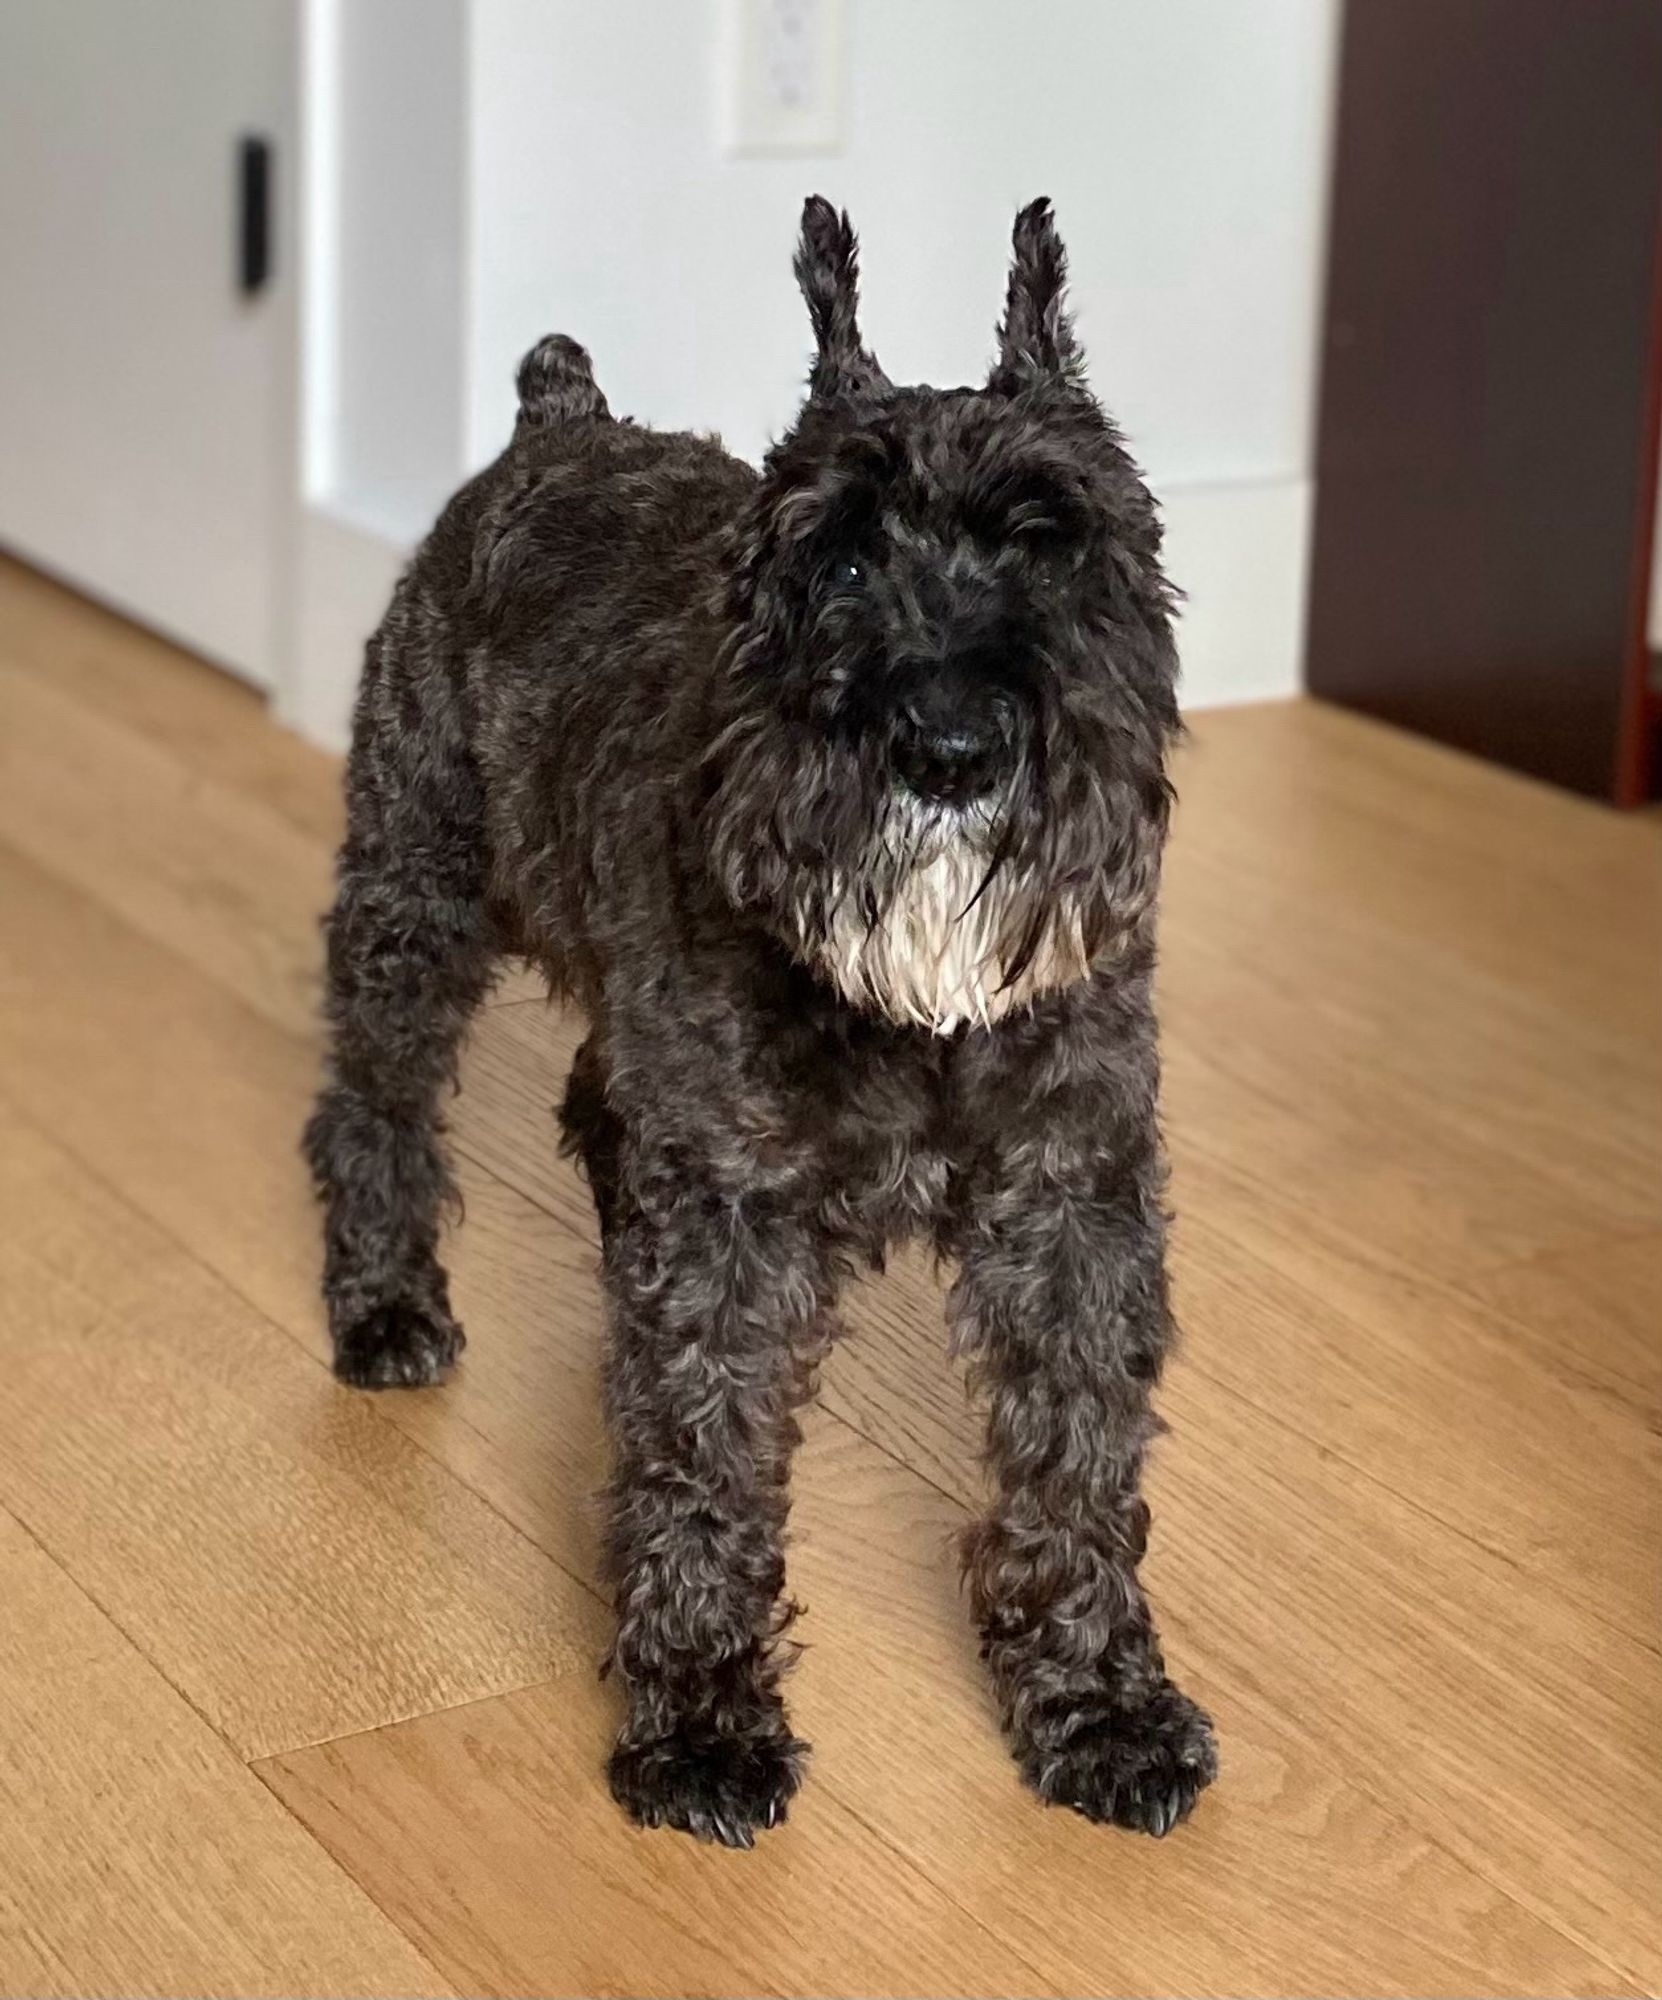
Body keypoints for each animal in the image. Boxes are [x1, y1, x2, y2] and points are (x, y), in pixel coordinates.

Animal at [308, 199, 1224, 1840]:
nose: (948, 742)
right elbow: (705, 1451)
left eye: (1056, 546)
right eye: (837, 558)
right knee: (373, 1103)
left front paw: (1099, 1704)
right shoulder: (731, 1223)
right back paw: (384, 1305)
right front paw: (699, 1721)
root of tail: (560, 418)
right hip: (417, 897)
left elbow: (1075, 1459)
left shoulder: (1071, 1200)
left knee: (592, 1114)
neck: (916, 1017)